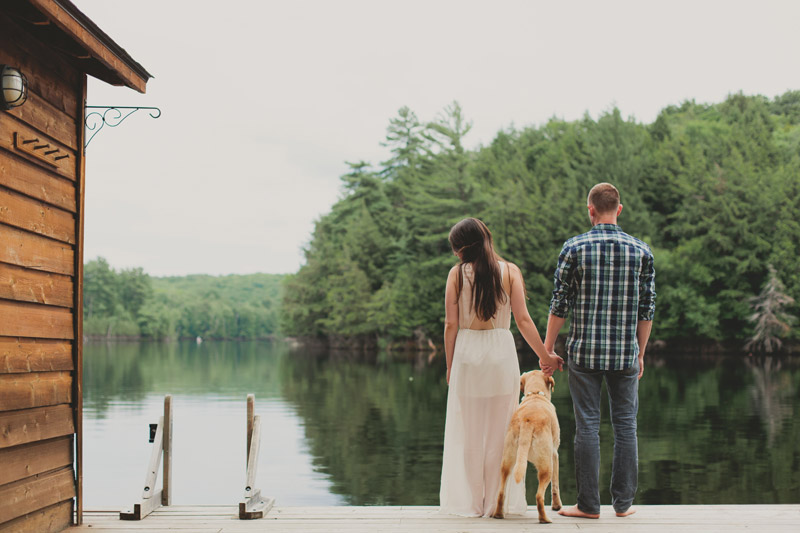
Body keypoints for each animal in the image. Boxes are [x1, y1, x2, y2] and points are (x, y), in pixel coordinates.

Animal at [490, 368, 560, 520]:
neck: (535, 394)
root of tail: (527, 421)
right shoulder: (555, 454)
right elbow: (555, 486)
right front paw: (557, 506)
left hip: (507, 463)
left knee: (501, 492)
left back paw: (498, 514)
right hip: (546, 467)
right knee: (539, 496)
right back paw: (545, 519)